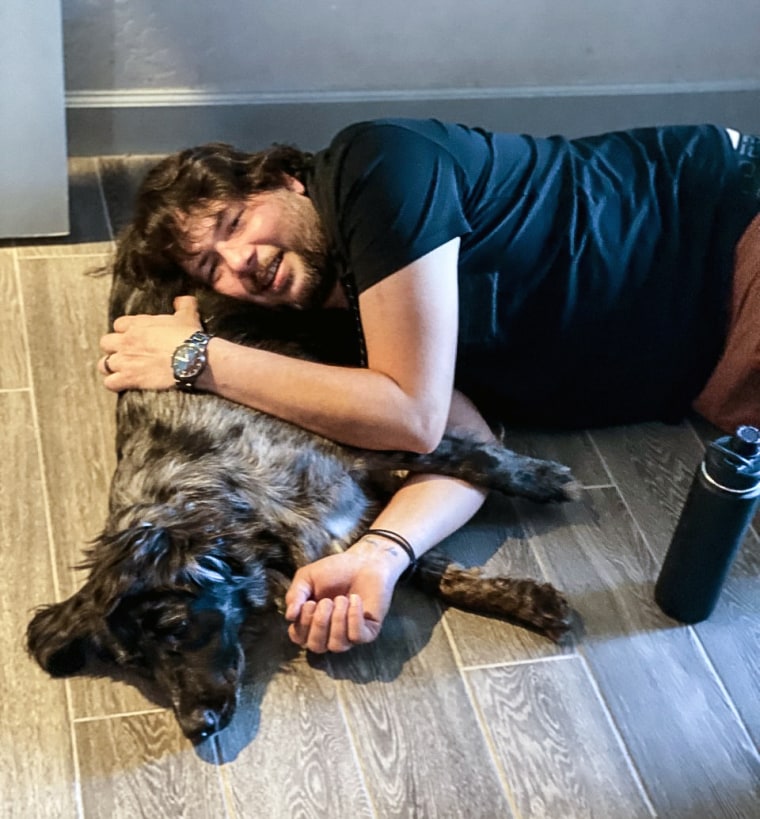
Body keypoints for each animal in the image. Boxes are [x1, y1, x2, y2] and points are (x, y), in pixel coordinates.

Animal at [26, 274, 580, 744]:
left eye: (177, 627)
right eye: (135, 663)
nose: (196, 728)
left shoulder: (362, 448)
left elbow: (471, 459)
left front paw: (542, 480)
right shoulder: (342, 531)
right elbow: (413, 562)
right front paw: (525, 600)